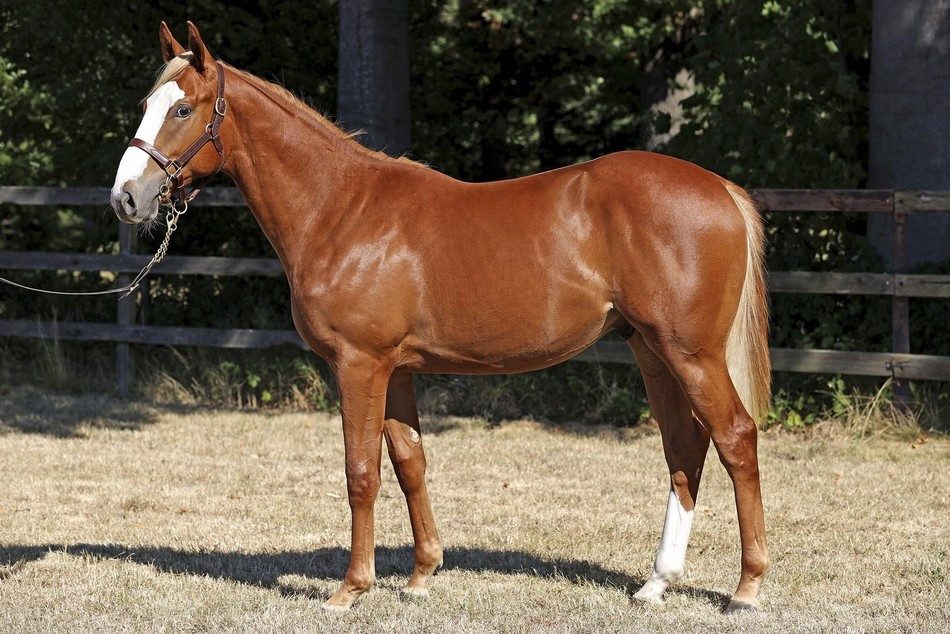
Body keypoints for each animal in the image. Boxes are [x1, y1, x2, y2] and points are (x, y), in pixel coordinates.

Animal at [111, 21, 771, 613]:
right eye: (146, 105)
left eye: (182, 109)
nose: (125, 198)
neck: (340, 210)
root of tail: (721, 189)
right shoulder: (396, 369)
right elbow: (410, 464)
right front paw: (421, 576)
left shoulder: (359, 365)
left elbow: (361, 473)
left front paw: (350, 590)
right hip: (651, 351)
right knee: (684, 448)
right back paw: (657, 584)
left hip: (691, 354)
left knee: (735, 437)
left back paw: (746, 588)